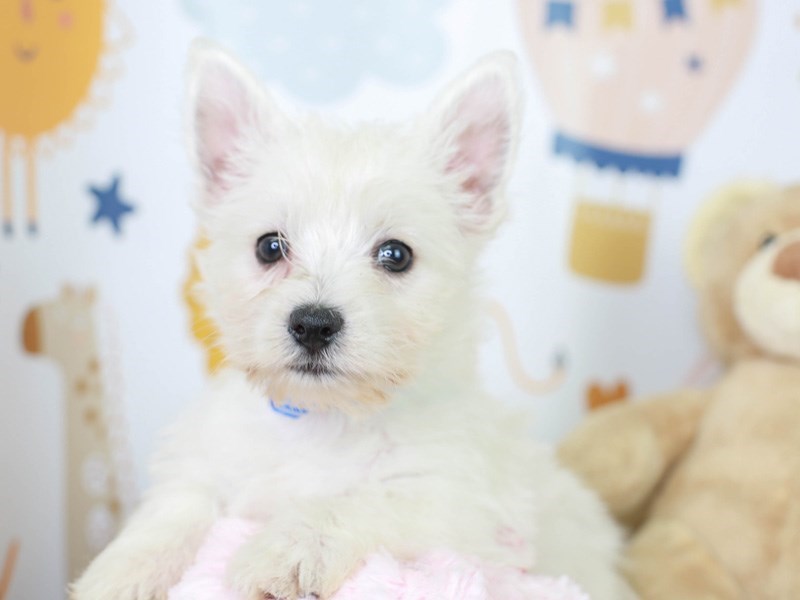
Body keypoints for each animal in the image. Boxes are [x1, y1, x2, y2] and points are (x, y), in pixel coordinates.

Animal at [72, 43, 632, 600]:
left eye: (396, 255)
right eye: (269, 247)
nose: (313, 324)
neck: (324, 420)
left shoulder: (459, 504)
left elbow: (358, 501)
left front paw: (285, 551)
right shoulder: (203, 465)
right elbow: (174, 514)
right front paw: (121, 573)